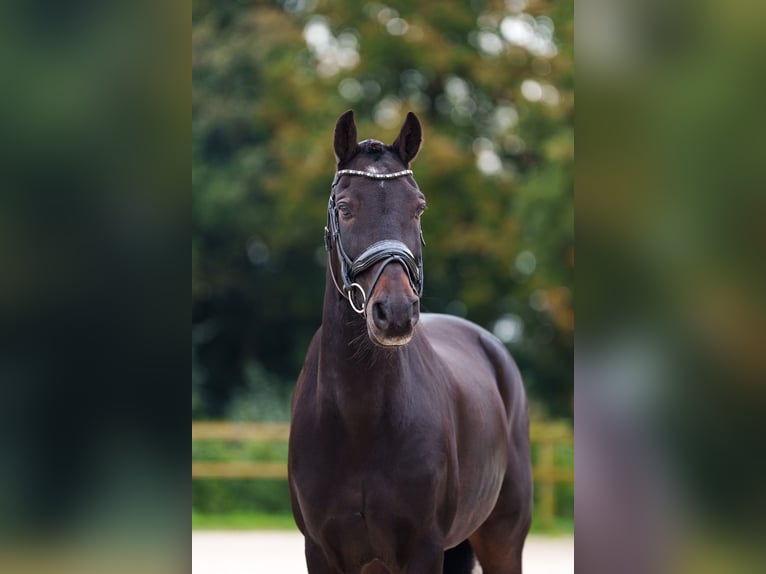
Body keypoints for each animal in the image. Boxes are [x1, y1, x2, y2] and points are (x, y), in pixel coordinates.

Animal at [288, 110, 536, 572]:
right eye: (345, 208)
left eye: (418, 207)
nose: (396, 312)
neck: (359, 419)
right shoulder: (322, 551)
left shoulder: (423, 548)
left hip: (503, 539)